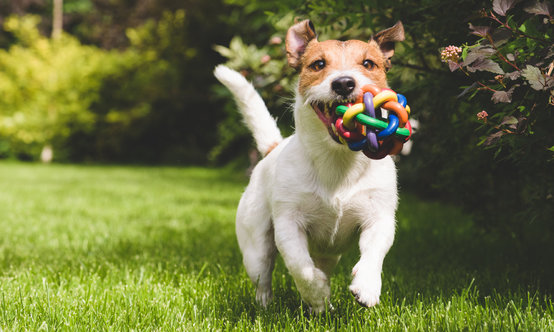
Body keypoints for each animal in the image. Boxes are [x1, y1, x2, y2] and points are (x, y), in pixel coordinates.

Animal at [213, 19, 404, 312]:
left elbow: (374, 253)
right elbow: (300, 267)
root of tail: (273, 148)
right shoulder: (288, 224)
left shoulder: (379, 217)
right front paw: (316, 292)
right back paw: (270, 304)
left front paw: (367, 286)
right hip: (255, 245)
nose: (344, 83)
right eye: (318, 64)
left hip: (329, 253)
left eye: (368, 63)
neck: (337, 160)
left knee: (323, 265)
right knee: (263, 275)